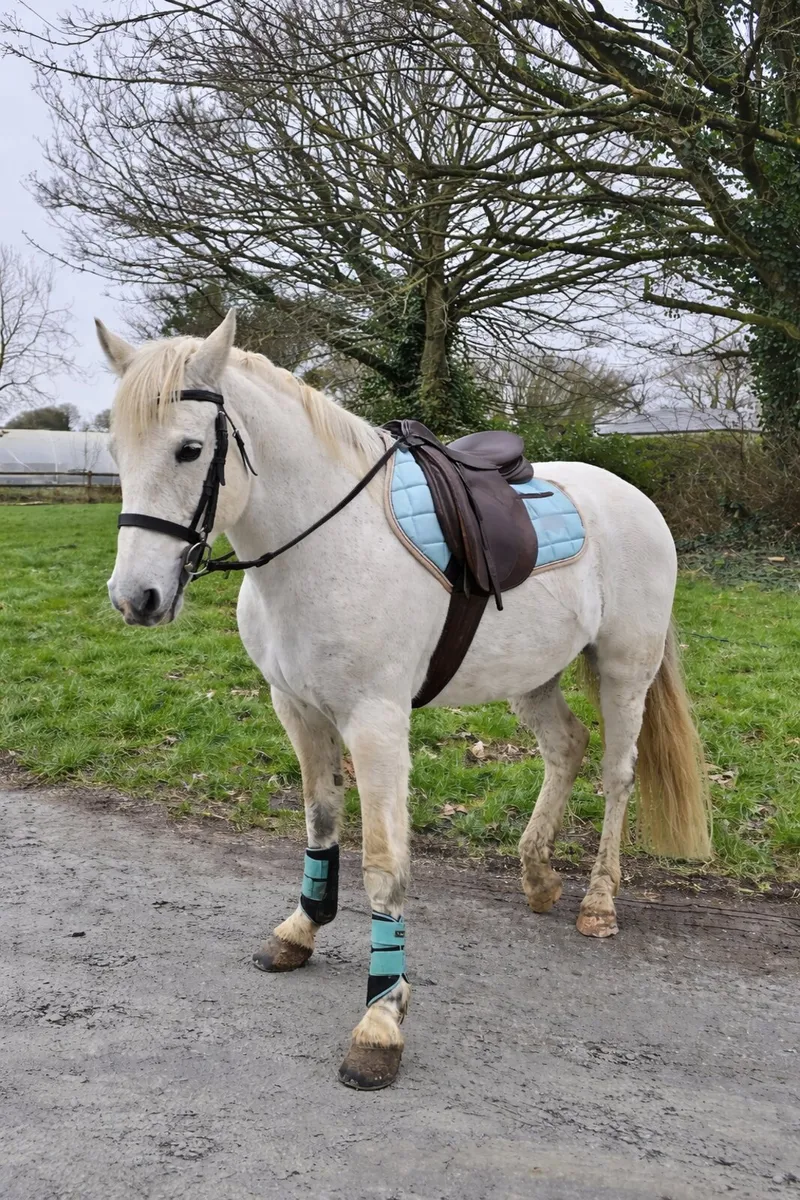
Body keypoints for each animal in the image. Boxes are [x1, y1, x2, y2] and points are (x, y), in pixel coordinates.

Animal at [98, 311, 711, 1090]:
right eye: (117, 449)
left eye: (190, 448)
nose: (135, 598)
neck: (324, 545)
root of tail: (635, 499)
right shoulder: (296, 709)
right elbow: (320, 823)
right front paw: (302, 929)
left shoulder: (377, 724)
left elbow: (386, 866)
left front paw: (381, 1019)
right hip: (531, 676)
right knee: (565, 746)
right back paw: (538, 873)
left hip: (625, 671)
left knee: (616, 774)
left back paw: (599, 901)